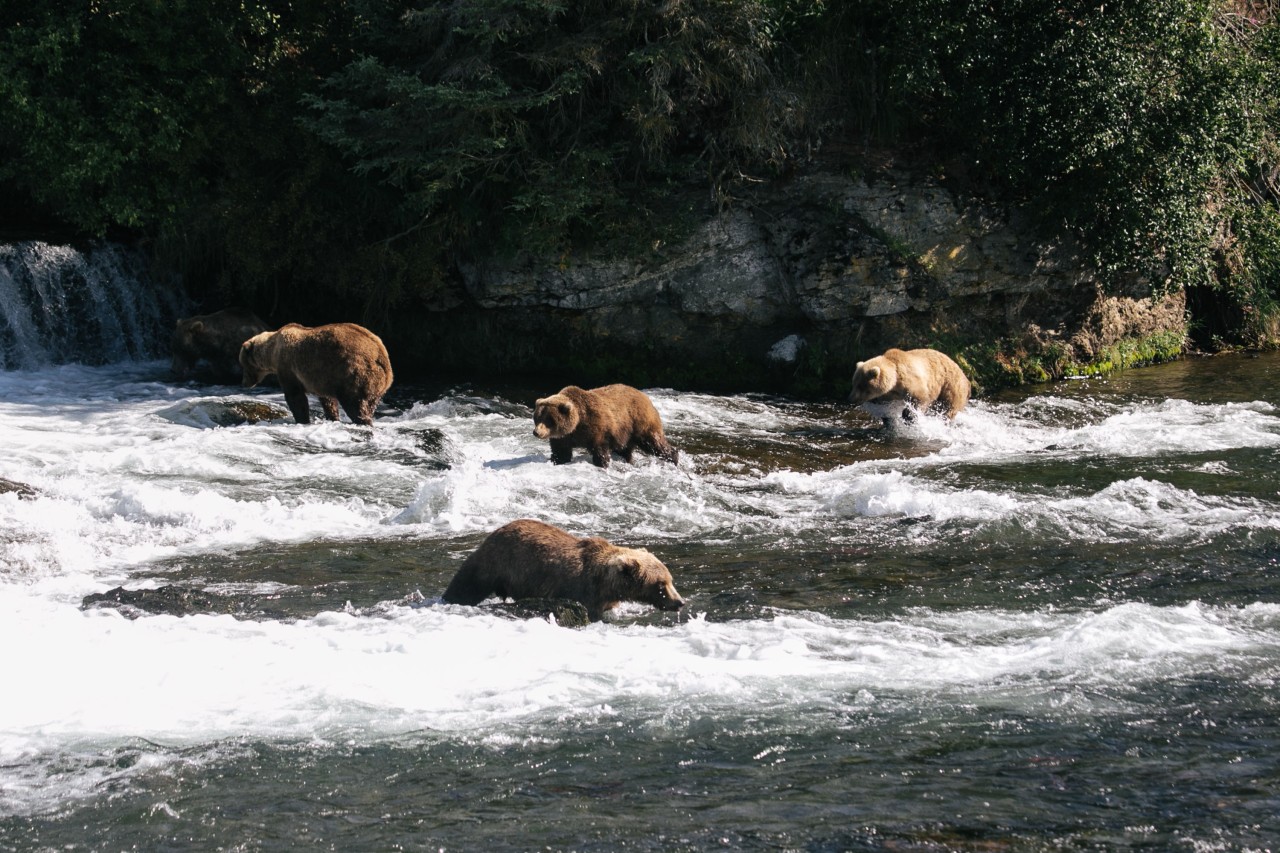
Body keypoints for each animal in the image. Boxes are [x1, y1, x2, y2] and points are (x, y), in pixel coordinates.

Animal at [239, 322, 393, 426]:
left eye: (243, 364)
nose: (244, 383)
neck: (272, 353)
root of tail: (380, 355)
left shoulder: (288, 367)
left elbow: (295, 397)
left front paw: (302, 420)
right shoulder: (322, 378)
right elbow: (328, 401)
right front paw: (332, 417)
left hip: (354, 372)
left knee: (354, 404)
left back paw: (363, 421)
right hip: (377, 385)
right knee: (370, 404)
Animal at [441, 519, 685, 622]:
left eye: (670, 580)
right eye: (661, 584)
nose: (680, 602)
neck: (606, 585)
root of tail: (496, 530)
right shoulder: (583, 592)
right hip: (494, 563)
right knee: (467, 585)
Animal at [533, 384, 679, 468]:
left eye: (549, 419)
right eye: (537, 417)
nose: (536, 432)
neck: (578, 424)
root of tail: (646, 397)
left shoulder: (597, 428)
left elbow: (600, 450)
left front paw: (602, 463)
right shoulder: (563, 438)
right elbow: (561, 453)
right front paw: (557, 460)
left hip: (638, 422)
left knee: (653, 442)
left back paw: (673, 458)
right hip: (625, 433)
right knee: (625, 449)